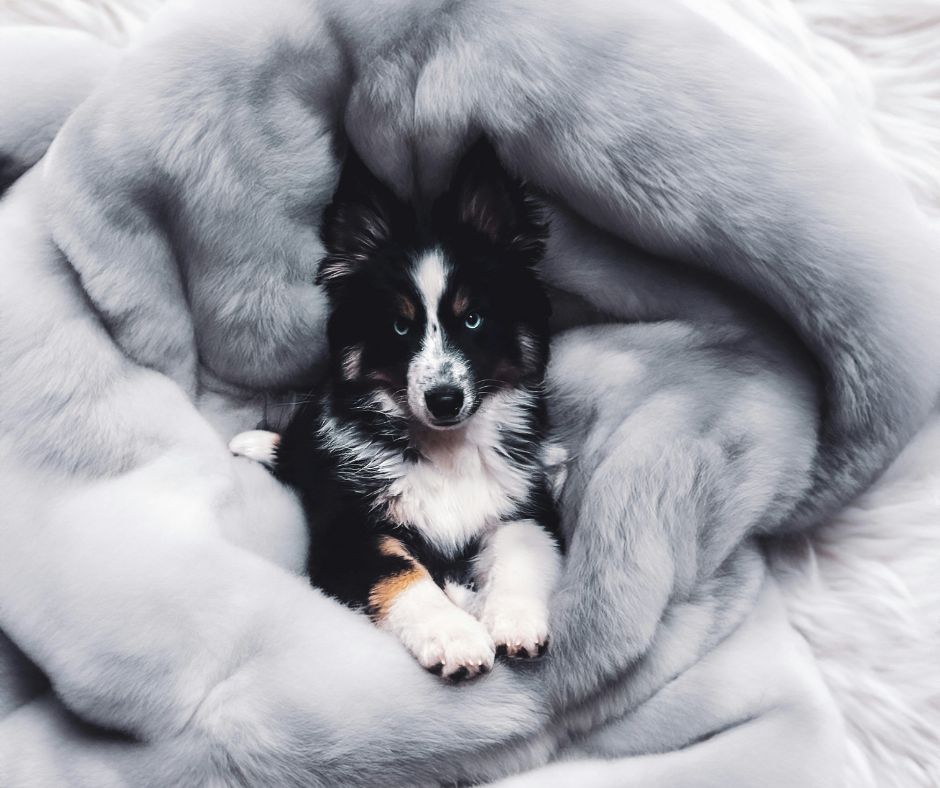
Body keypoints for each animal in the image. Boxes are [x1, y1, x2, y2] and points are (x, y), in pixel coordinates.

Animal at [233, 139, 564, 680]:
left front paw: (512, 621)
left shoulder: (527, 505)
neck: (448, 447)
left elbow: (521, 549)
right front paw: (454, 636)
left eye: (474, 320)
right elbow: (401, 572)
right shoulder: (349, 530)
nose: (444, 400)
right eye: (400, 327)